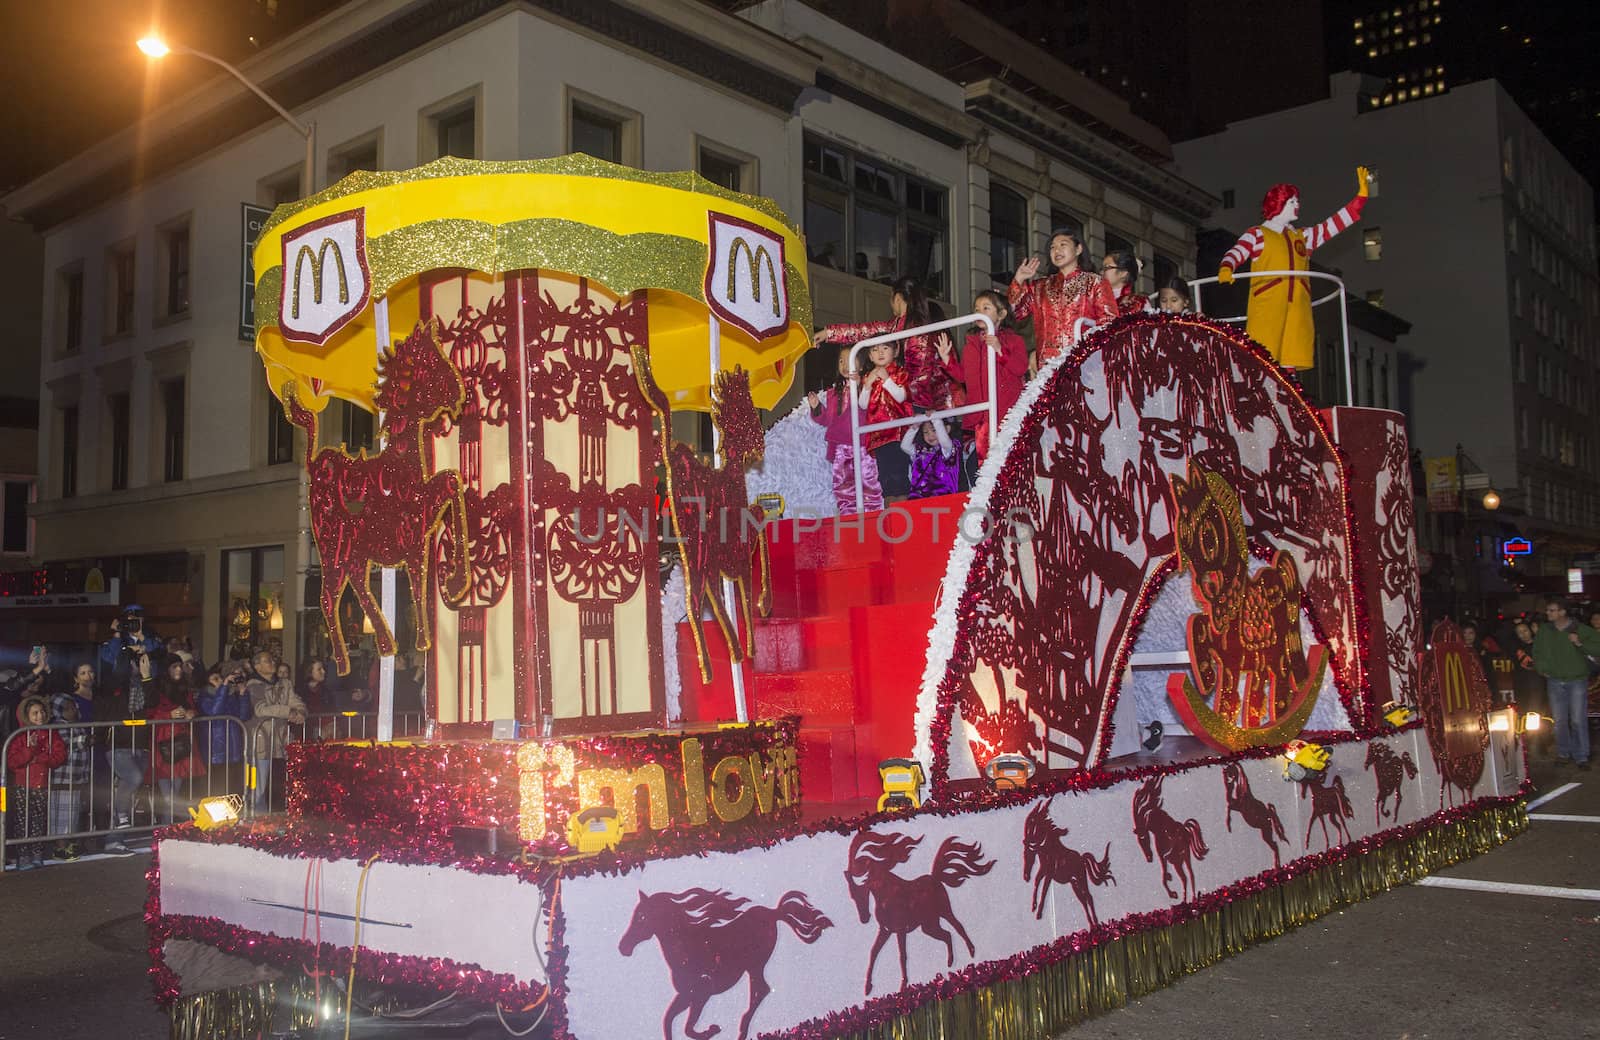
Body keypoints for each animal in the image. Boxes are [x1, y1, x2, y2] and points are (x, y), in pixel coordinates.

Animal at [617, 883, 832, 1036]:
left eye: (642, 917)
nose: (623, 947)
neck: (687, 947)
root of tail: (773, 913)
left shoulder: (702, 993)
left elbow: (687, 1028)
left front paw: (713, 1030)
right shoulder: (685, 995)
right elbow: (669, 1020)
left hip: (755, 964)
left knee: (761, 989)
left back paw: (742, 1030)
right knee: (759, 990)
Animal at [844, 825, 992, 985]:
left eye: (862, 890)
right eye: (852, 896)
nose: (864, 918)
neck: (886, 893)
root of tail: (935, 877)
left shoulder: (900, 929)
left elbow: (902, 955)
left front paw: (903, 985)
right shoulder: (885, 930)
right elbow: (873, 952)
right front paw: (868, 986)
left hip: (944, 911)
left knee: (958, 926)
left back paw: (971, 951)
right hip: (929, 925)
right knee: (947, 935)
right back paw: (950, 962)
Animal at [1024, 793, 1113, 921]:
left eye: (1033, 822)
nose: (1026, 840)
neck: (1049, 849)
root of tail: (1082, 859)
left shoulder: (1049, 874)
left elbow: (1044, 890)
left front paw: (1039, 913)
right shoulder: (1043, 870)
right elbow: (1036, 881)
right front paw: (1034, 906)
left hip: (1081, 879)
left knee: (1088, 897)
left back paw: (1095, 922)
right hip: (1073, 882)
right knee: (1083, 900)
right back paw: (1091, 922)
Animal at [1132, 768, 1203, 896]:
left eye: (1142, 837)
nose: (1149, 858)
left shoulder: (1161, 854)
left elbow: (1164, 874)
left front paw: (1172, 891)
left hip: (1177, 861)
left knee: (1184, 877)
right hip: (1185, 858)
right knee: (1191, 875)